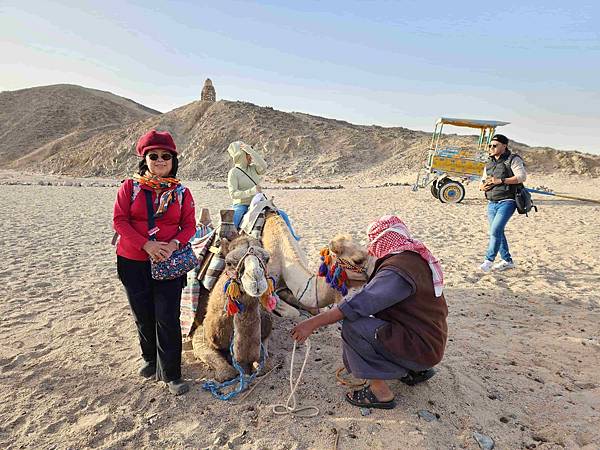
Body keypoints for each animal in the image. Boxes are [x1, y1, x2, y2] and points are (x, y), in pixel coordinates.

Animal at [193, 234, 274, 382]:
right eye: (229, 262)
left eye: (267, 258)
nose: (256, 280)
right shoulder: (202, 332)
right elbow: (226, 372)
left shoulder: (266, 330)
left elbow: (264, 365)